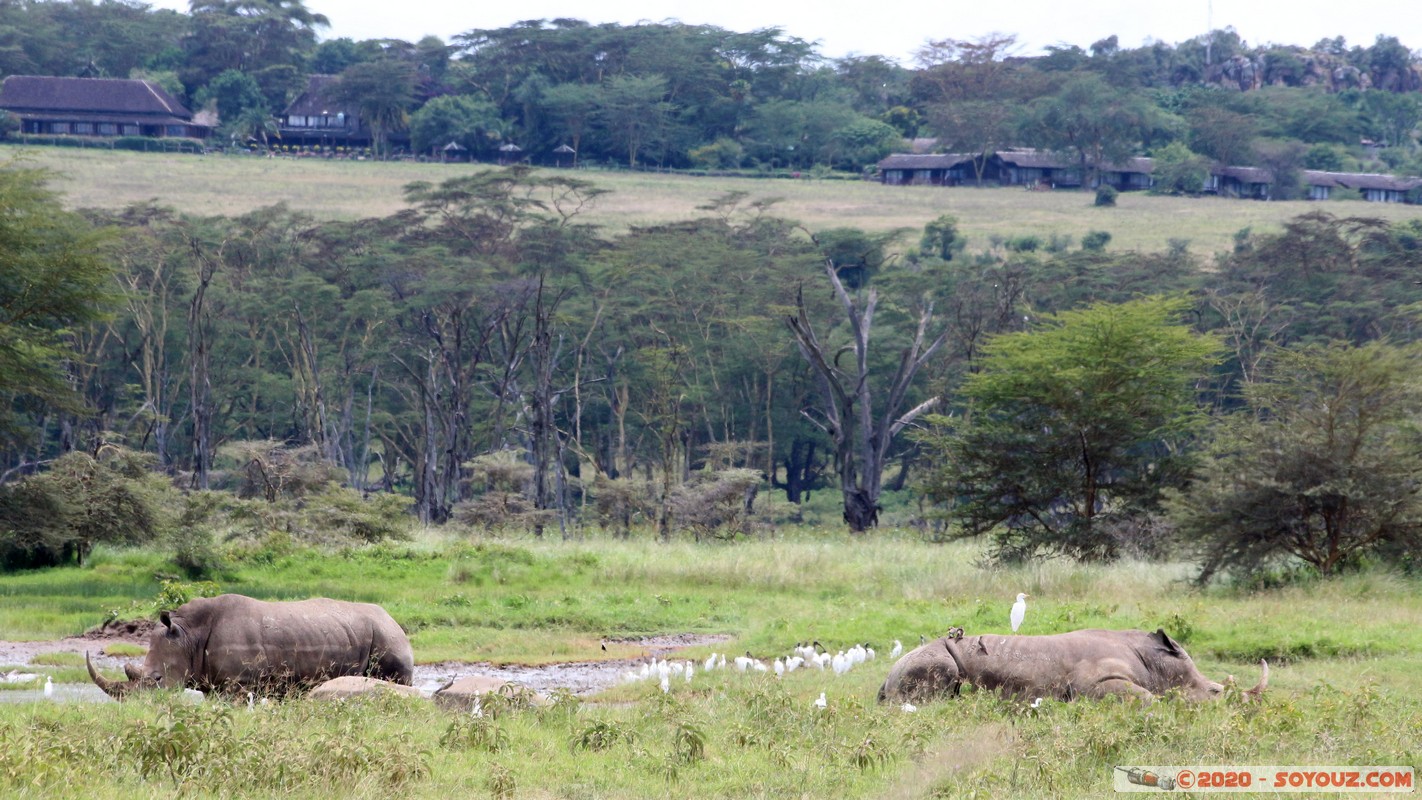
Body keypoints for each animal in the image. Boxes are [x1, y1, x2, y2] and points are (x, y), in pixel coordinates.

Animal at [87, 594, 414, 699]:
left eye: (156, 679)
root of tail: (393, 618)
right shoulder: (214, 682)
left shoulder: (238, 683)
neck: (188, 634)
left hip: (388, 637)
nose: (136, 708)